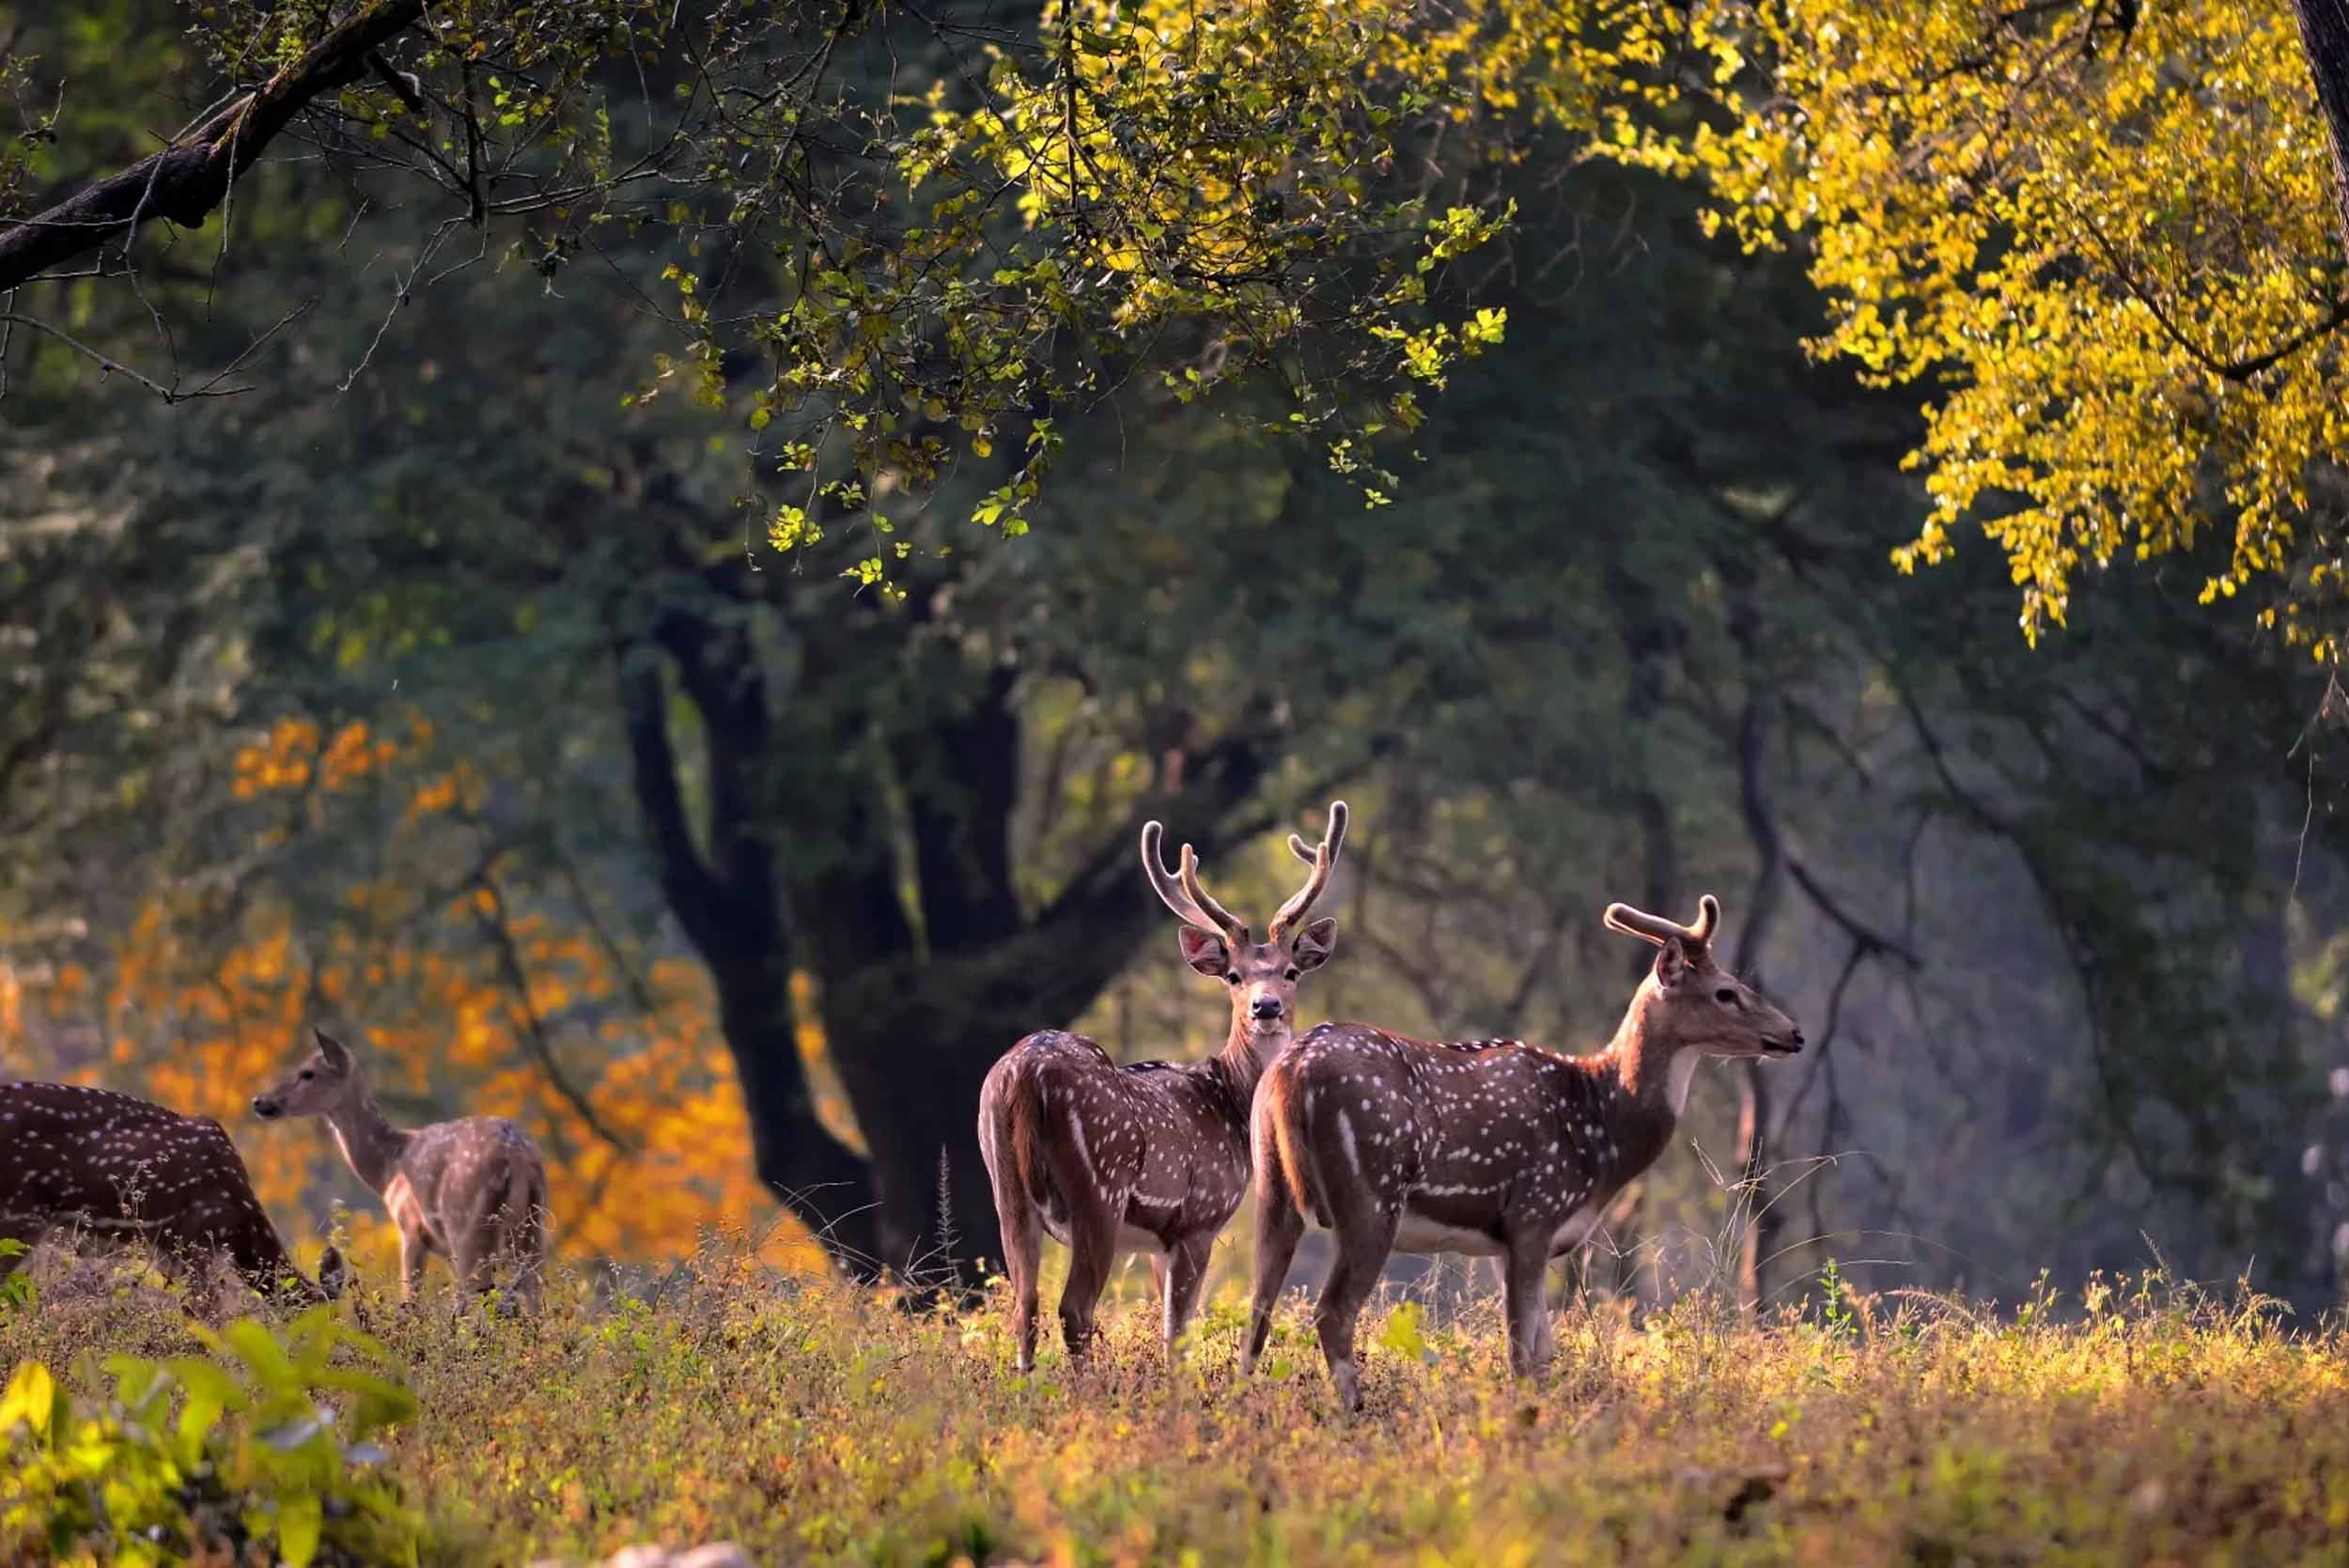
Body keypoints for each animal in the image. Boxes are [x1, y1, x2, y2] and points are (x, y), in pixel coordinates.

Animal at [254, 1028, 550, 1314]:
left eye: (307, 1073)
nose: (259, 1100)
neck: (388, 1170)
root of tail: (516, 1157)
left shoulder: (410, 1228)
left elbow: (410, 1302)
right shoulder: (443, 1249)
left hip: (467, 1226)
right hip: (532, 1228)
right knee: (533, 1297)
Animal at [972, 802, 1353, 1361]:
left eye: (1291, 971)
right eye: (1234, 976)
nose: (1266, 1007)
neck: (1230, 1102)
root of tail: (1022, 1076)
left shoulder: (1158, 1242)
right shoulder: (1200, 1218)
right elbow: (1179, 1334)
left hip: (1005, 1186)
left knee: (1025, 1307)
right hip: (1099, 1190)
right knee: (1074, 1308)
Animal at [1250, 892, 1795, 1408]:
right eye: (1726, 991)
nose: (1794, 1033)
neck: (1602, 1131)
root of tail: (1292, 1071)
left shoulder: (1505, 1239)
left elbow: (1545, 1351)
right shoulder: (1535, 1212)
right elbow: (1522, 1354)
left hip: (1273, 1188)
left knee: (1258, 1308)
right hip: (1371, 1194)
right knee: (1332, 1312)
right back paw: (1353, 1411)